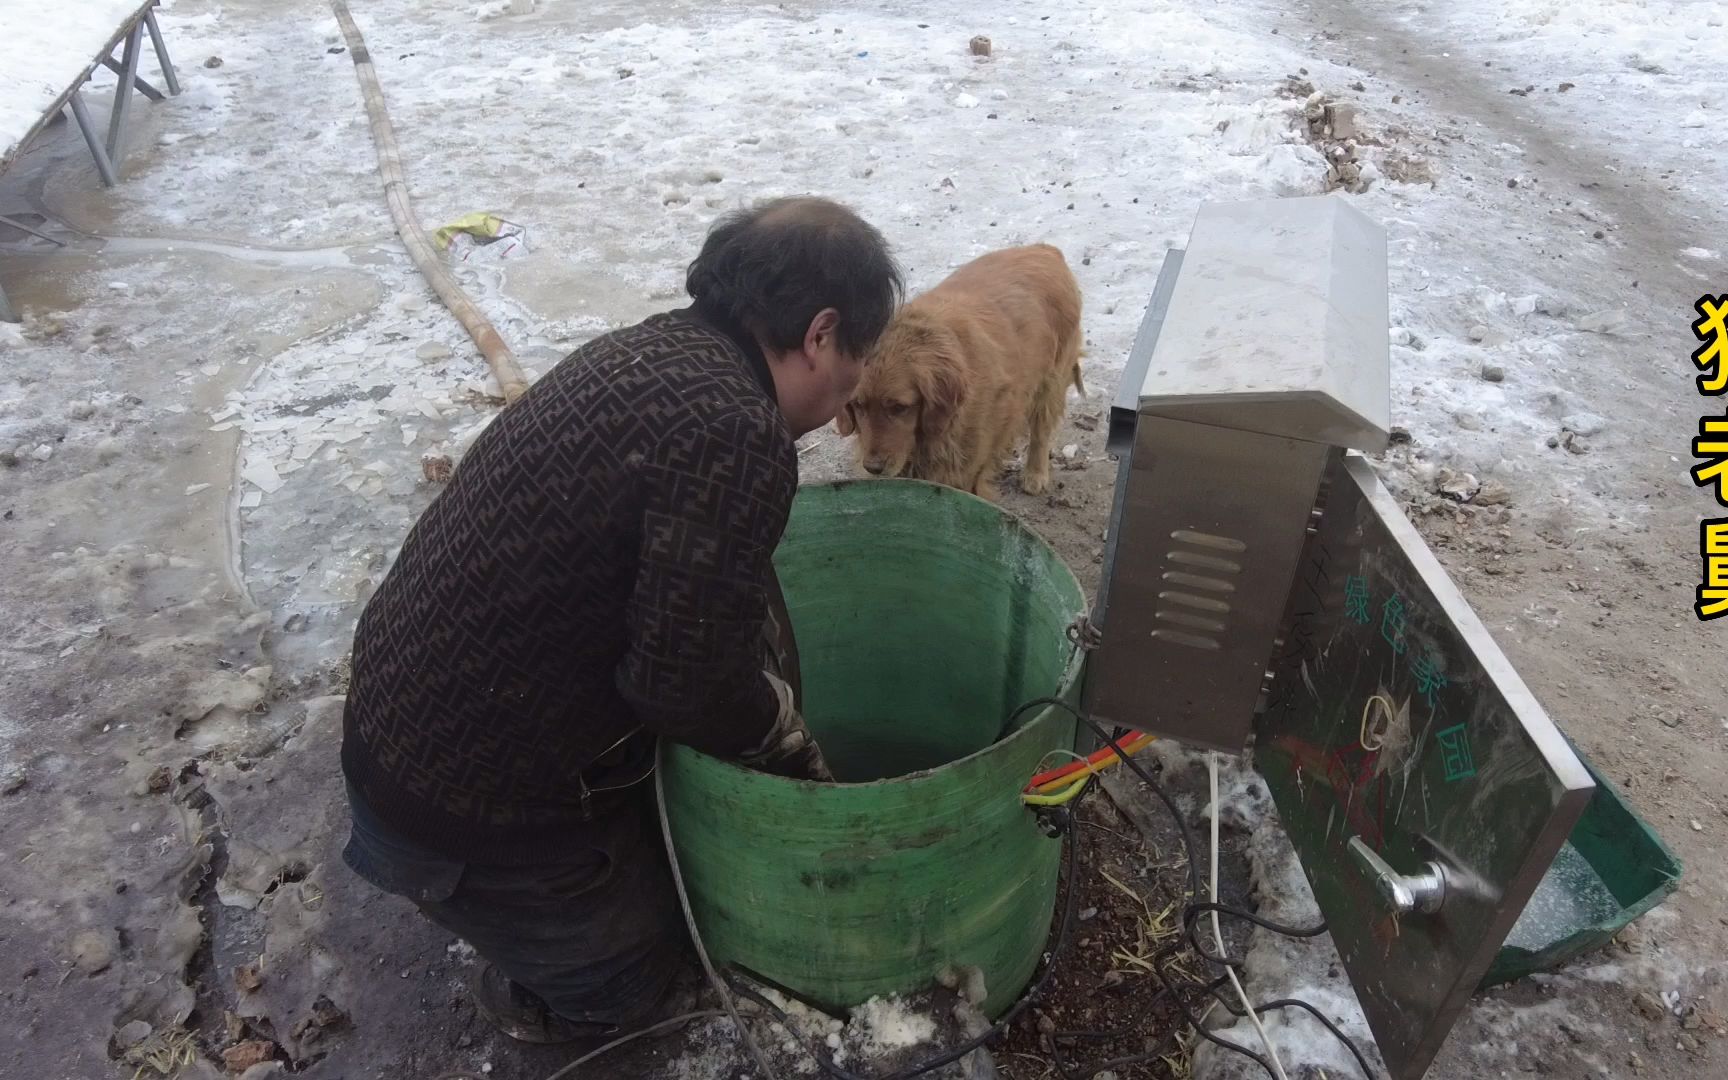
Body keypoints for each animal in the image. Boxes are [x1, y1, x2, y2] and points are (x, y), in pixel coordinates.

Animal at [832, 241, 1078, 497]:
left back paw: (1035, 474)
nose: (873, 467)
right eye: (857, 405)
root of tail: (1044, 249)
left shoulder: (967, 467)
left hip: (1051, 381)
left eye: (899, 407)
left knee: (1041, 431)